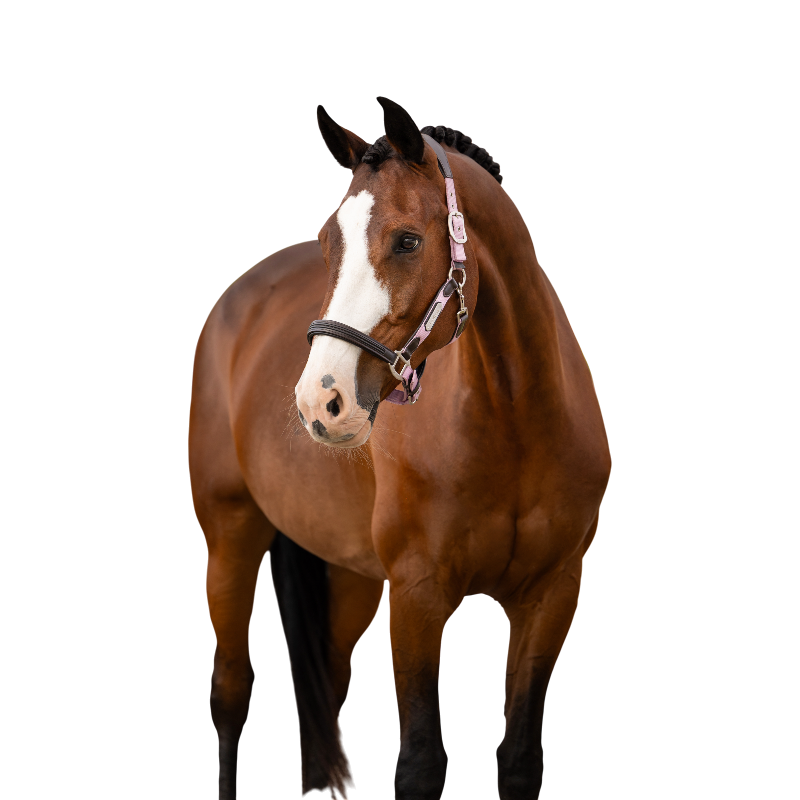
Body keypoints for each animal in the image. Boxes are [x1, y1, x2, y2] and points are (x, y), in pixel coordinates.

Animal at [189, 96, 611, 800]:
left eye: (408, 240)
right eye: (328, 242)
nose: (320, 402)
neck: (516, 424)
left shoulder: (552, 595)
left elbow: (520, 758)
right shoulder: (418, 595)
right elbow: (419, 761)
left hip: (351, 574)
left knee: (327, 687)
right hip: (230, 535)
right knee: (230, 690)